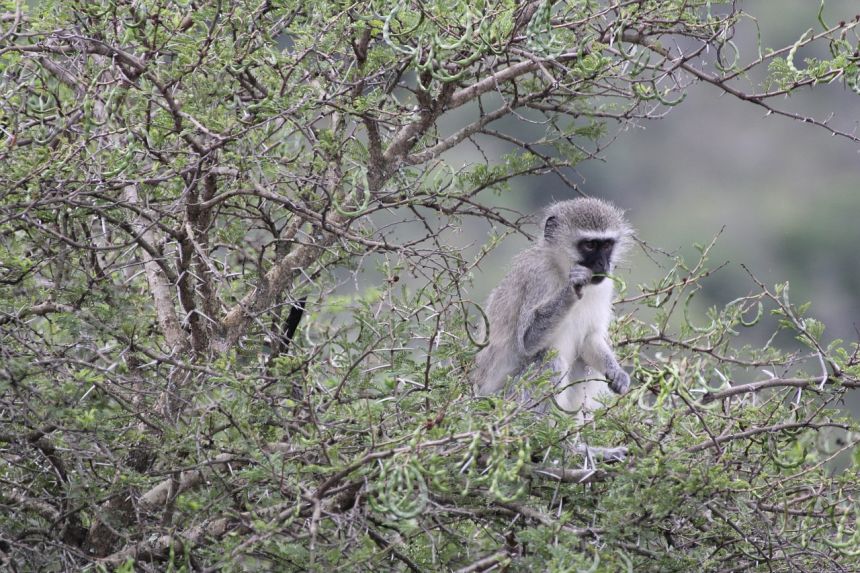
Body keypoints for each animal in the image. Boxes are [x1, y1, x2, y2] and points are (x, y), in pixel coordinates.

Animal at [470, 198, 632, 420]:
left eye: (607, 245)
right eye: (590, 245)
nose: (603, 264)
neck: (561, 268)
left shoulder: (604, 285)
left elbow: (590, 339)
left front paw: (617, 372)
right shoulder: (538, 277)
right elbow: (527, 341)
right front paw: (572, 287)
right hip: (504, 399)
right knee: (550, 360)